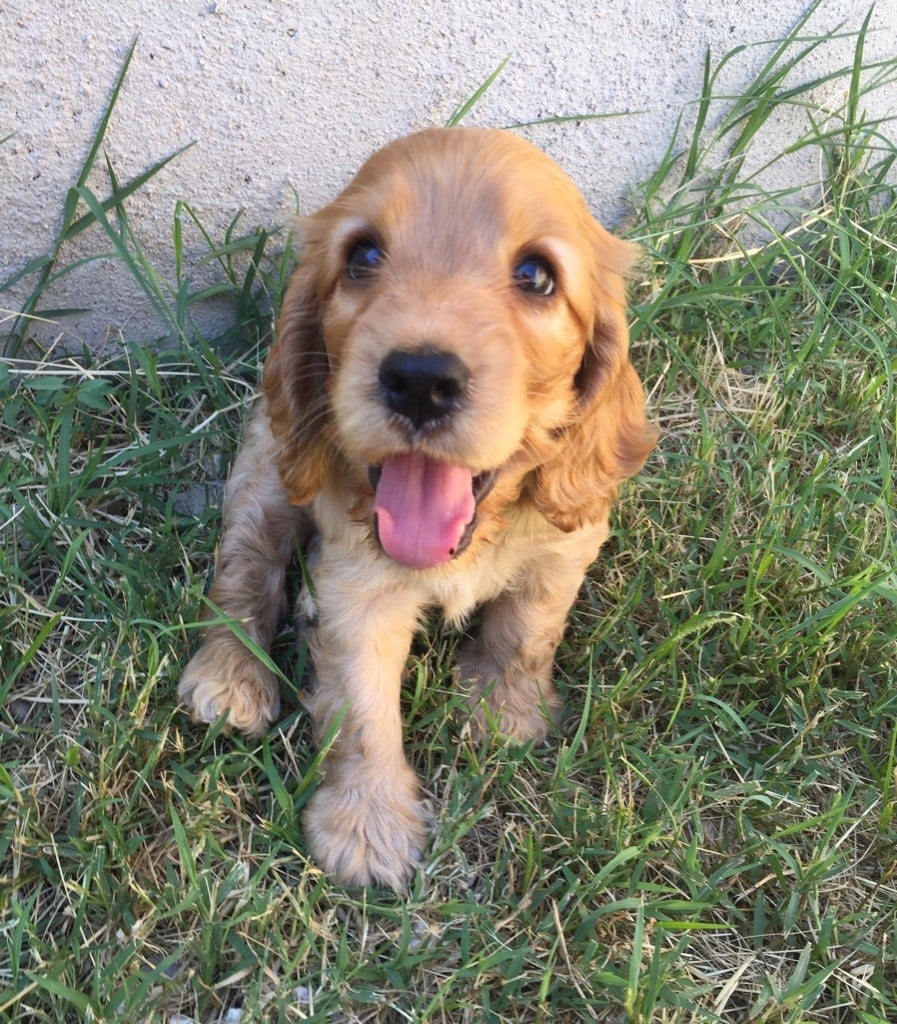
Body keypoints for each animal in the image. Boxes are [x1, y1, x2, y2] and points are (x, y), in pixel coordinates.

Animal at [180, 125, 659, 888]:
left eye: (536, 276)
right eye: (363, 257)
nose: (420, 380)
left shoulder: (568, 541)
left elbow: (529, 628)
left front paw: (503, 712)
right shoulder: (354, 585)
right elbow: (363, 709)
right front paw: (365, 828)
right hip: (267, 470)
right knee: (244, 569)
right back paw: (230, 677)